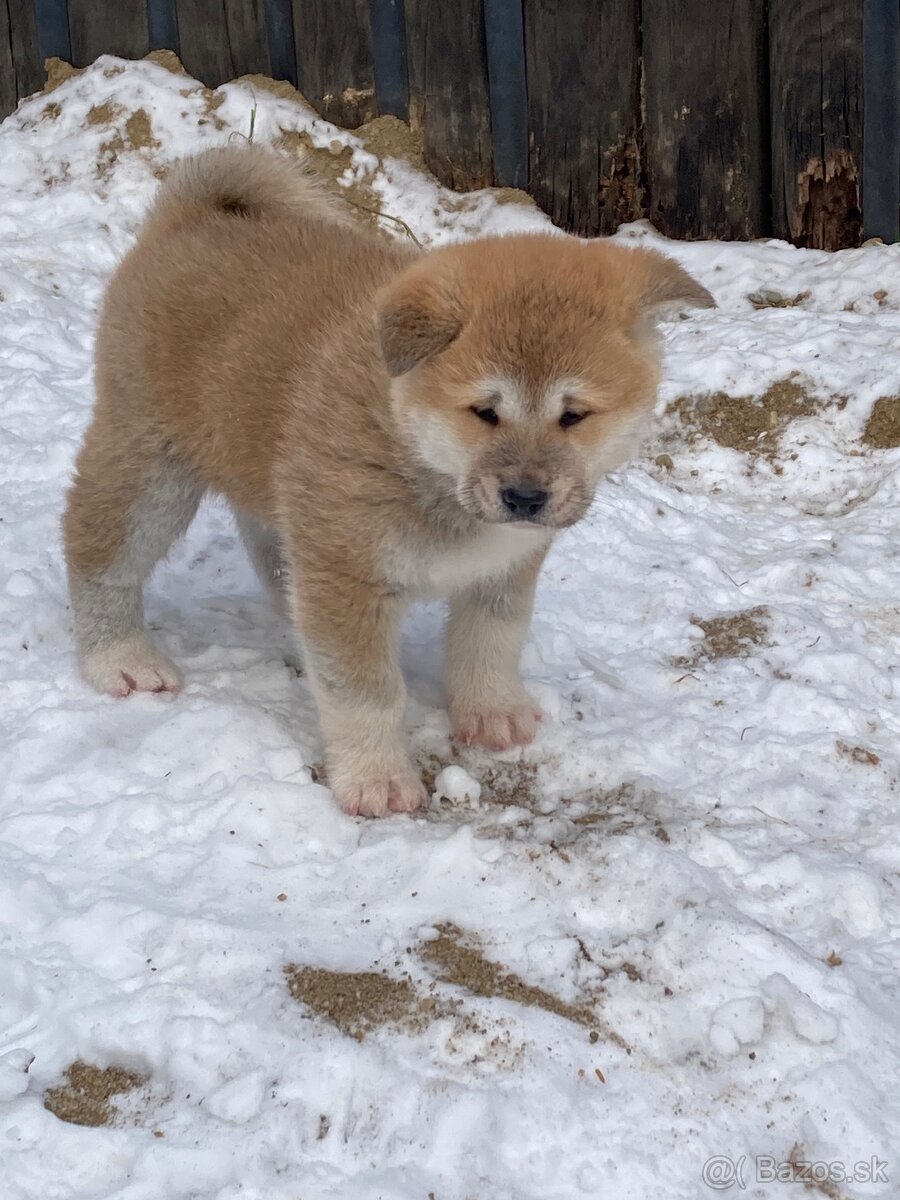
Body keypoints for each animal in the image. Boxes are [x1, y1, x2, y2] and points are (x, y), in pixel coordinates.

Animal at [61, 140, 710, 816]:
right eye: (484, 411)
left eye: (574, 415)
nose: (525, 497)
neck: (421, 460)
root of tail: (194, 214)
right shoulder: (348, 578)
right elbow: (365, 694)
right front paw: (376, 780)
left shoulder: (502, 568)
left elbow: (490, 643)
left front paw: (493, 713)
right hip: (150, 468)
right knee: (98, 553)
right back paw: (120, 658)